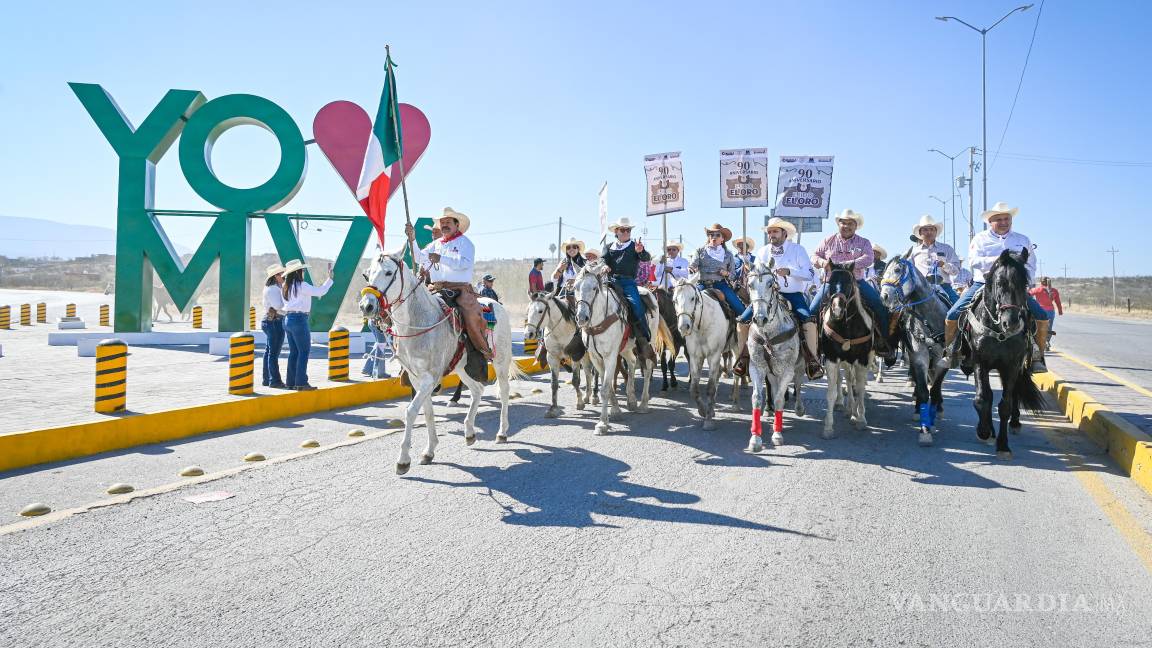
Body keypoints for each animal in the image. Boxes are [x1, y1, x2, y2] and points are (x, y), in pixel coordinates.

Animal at [361, 250, 525, 472]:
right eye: (367, 274)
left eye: (388, 272)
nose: (367, 306)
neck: (419, 322)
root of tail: (498, 305)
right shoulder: (416, 378)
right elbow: (427, 412)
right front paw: (429, 451)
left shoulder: (430, 378)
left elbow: (411, 411)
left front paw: (403, 459)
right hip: (462, 367)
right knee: (477, 390)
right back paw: (469, 432)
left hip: (500, 360)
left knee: (505, 392)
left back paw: (502, 432)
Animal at [571, 259, 663, 431]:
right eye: (575, 287)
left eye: (594, 288)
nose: (581, 318)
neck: (598, 320)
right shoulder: (596, 357)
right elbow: (608, 386)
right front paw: (615, 411)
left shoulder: (610, 356)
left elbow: (605, 388)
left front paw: (602, 423)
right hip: (626, 348)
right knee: (632, 362)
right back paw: (631, 399)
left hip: (650, 342)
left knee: (647, 369)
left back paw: (643, 404)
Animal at [668, 274, 737, 426]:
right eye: (674, 300)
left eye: (693, 298)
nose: (684, 327)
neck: (703, 324)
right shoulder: (695, 357)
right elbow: (694, 389)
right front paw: (703, 411)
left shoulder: (714, 356)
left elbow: (710, 388)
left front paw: (708, 421)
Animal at [741, 260, 806, 449]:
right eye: (750, 284)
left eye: (771, 284)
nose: (759, 318)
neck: (769, 335)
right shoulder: (757, 368)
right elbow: (757, 398)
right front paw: (755, 438)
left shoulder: (787, 371)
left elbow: (779, 400)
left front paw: (777, 434)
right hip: (771, 372)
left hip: (799, 367)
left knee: (798, 384)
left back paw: (799, 408)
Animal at [953, 247, 1046, 458]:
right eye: (1000, 283)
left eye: (1025, 283)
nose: (1011, 322)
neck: (998, 331)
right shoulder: (980, 362)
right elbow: (983, 398)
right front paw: (984, 431)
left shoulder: (1011, 365)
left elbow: (1005, 405)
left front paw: (1003, 444)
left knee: (1014, 394)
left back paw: (1016, 422)